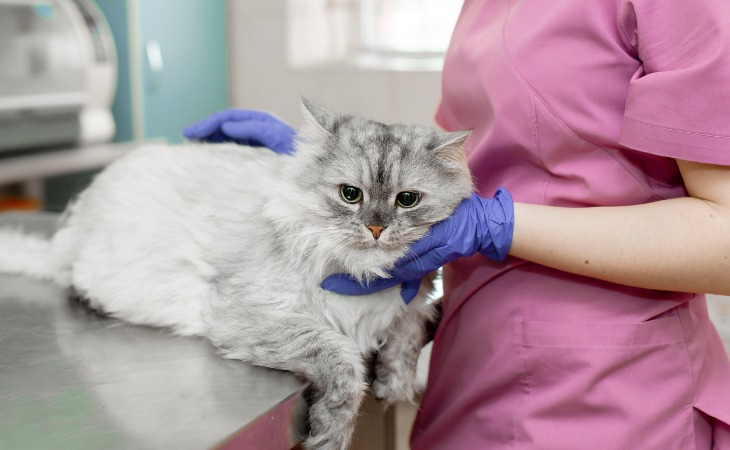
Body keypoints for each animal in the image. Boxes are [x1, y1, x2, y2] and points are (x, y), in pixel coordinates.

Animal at [0, 99, 472, 450]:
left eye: (407, 200)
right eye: (350, 195)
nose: (376, 229)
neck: (363, 274)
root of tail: (74, 225)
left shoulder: (415, 297)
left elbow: (405, 338)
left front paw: (395, 386)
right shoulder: (253, 317)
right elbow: (344, 364)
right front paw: (331, 434)